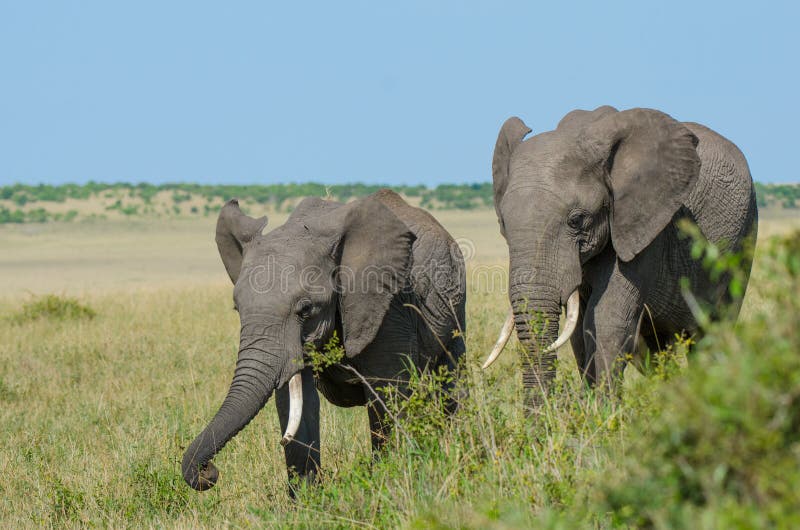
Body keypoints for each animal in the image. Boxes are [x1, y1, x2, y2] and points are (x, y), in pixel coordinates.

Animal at [182, 189, 466, 490]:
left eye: (306, 309)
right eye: (237, 309)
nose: (209, 472)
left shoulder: (389, 307)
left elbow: (387, 393)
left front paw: (391, 483)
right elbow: (296, 402)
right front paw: (308, 499)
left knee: (451, 385)